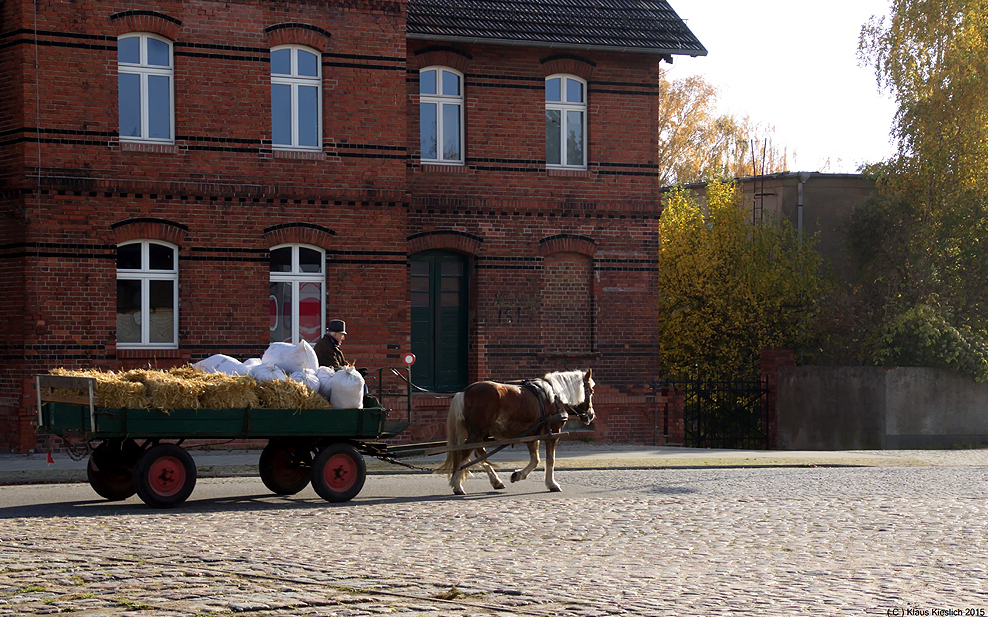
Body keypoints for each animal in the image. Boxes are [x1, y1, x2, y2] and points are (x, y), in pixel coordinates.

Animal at [434, 368, 596, 494]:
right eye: (590, 391)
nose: (591, 415)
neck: (554, 396)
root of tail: (465, 391)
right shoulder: (553, 434)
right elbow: (550, 460)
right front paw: (552, 483)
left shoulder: (532, 435)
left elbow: (535, 460)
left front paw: (518, 475)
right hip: (477, 432)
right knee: (465, 453)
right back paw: (457, 485)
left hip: (481, 434)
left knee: (479, 452)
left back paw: (496, 481)